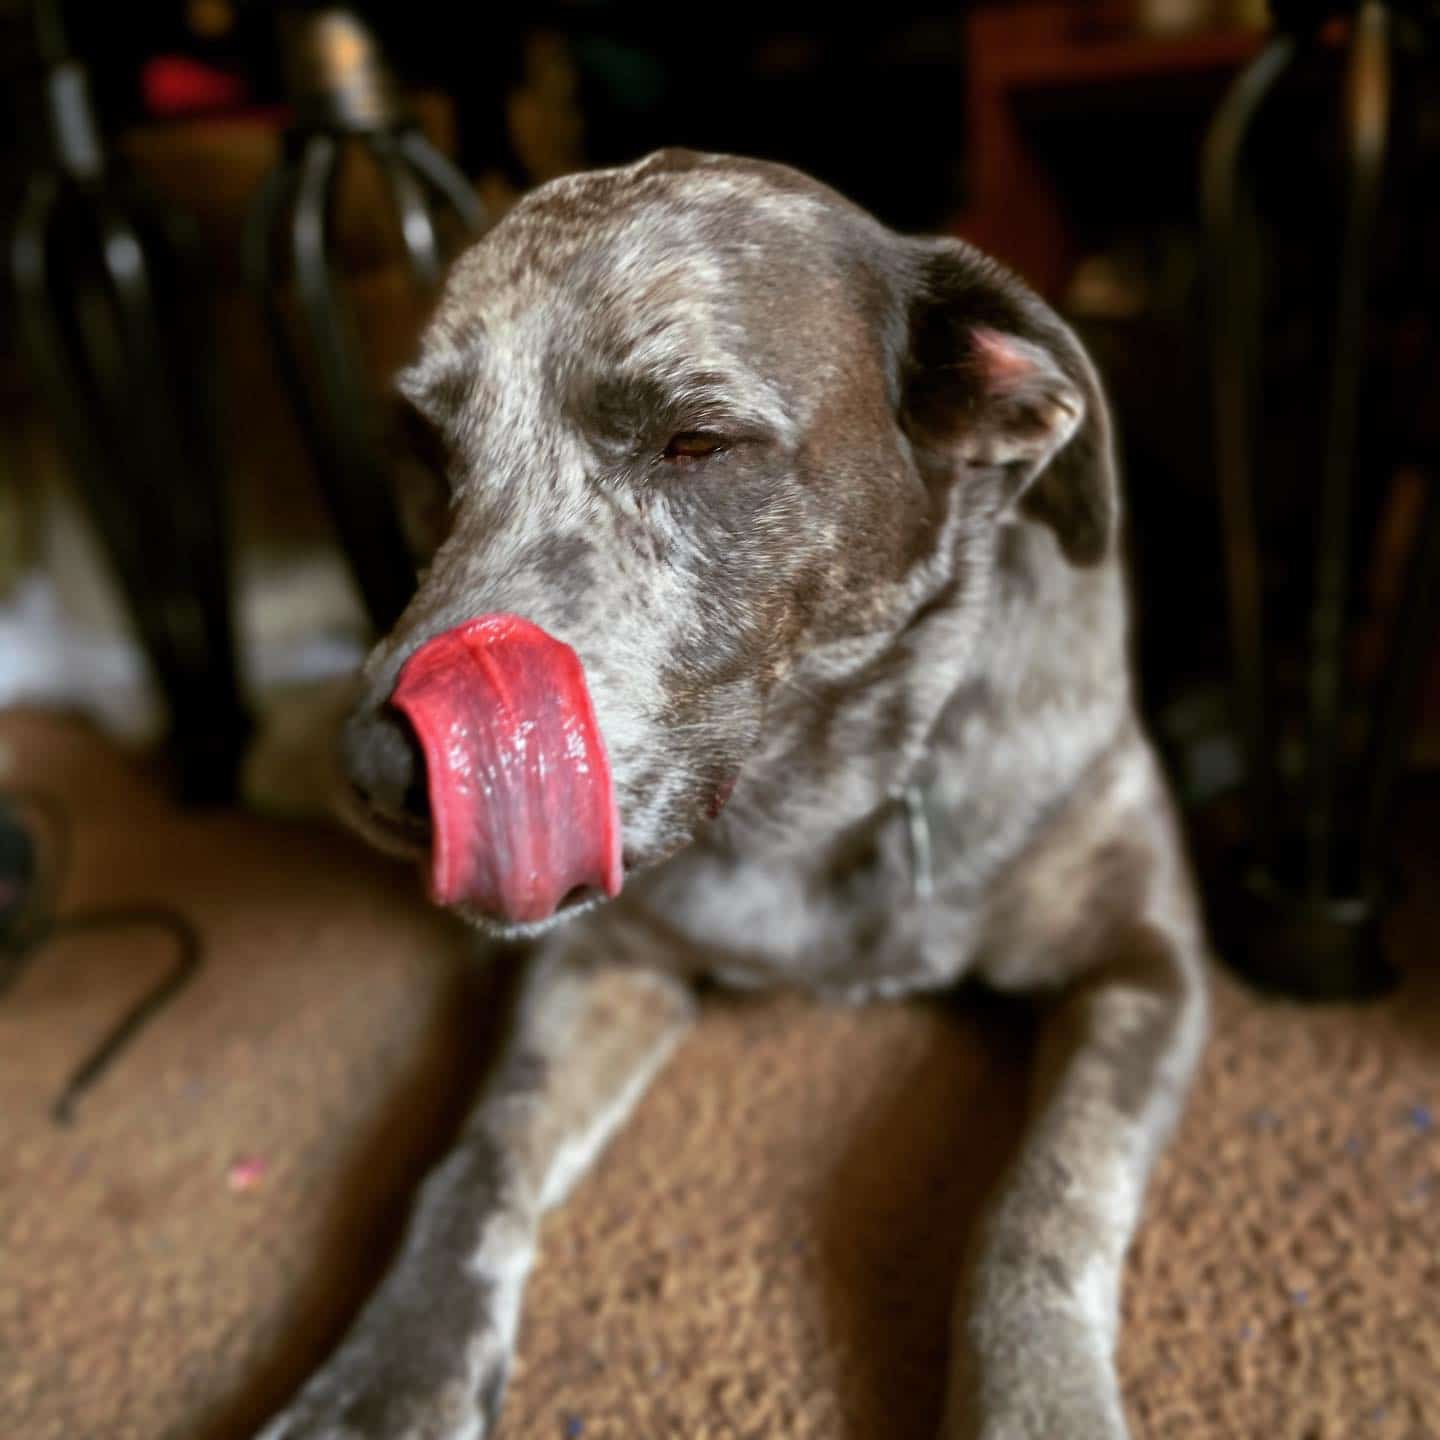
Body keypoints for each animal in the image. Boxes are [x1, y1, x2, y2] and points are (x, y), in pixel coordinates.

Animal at [256, 149, 1203, 1440]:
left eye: (696, 443)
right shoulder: (602, 958)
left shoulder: (1146, 961)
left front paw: (1035, 1401)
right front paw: (389, 1372)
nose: (377, 772)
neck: (825, 800)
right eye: (435, 460)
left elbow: (1043, 1196)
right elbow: (481, 1153)